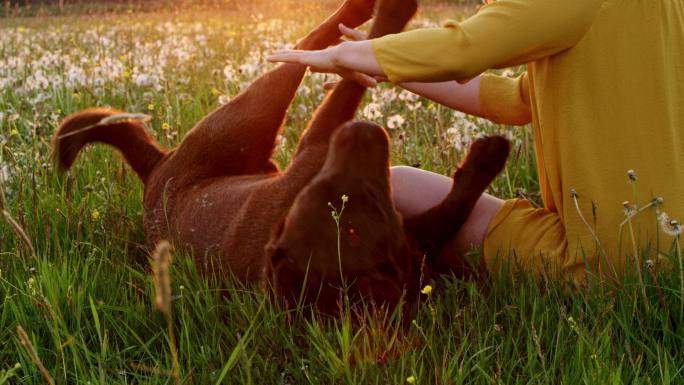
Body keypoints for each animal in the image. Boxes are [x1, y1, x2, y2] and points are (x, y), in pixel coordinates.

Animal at [53, 0, 508, 314]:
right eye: (364, 197)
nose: (361, 132)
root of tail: (154, 168)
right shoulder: (317, 147)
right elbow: (348, 83)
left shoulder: (416, 242)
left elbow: (454, 208)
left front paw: (485, 158)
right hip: (252, 114)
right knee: (302, 51)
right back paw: (363, 12)